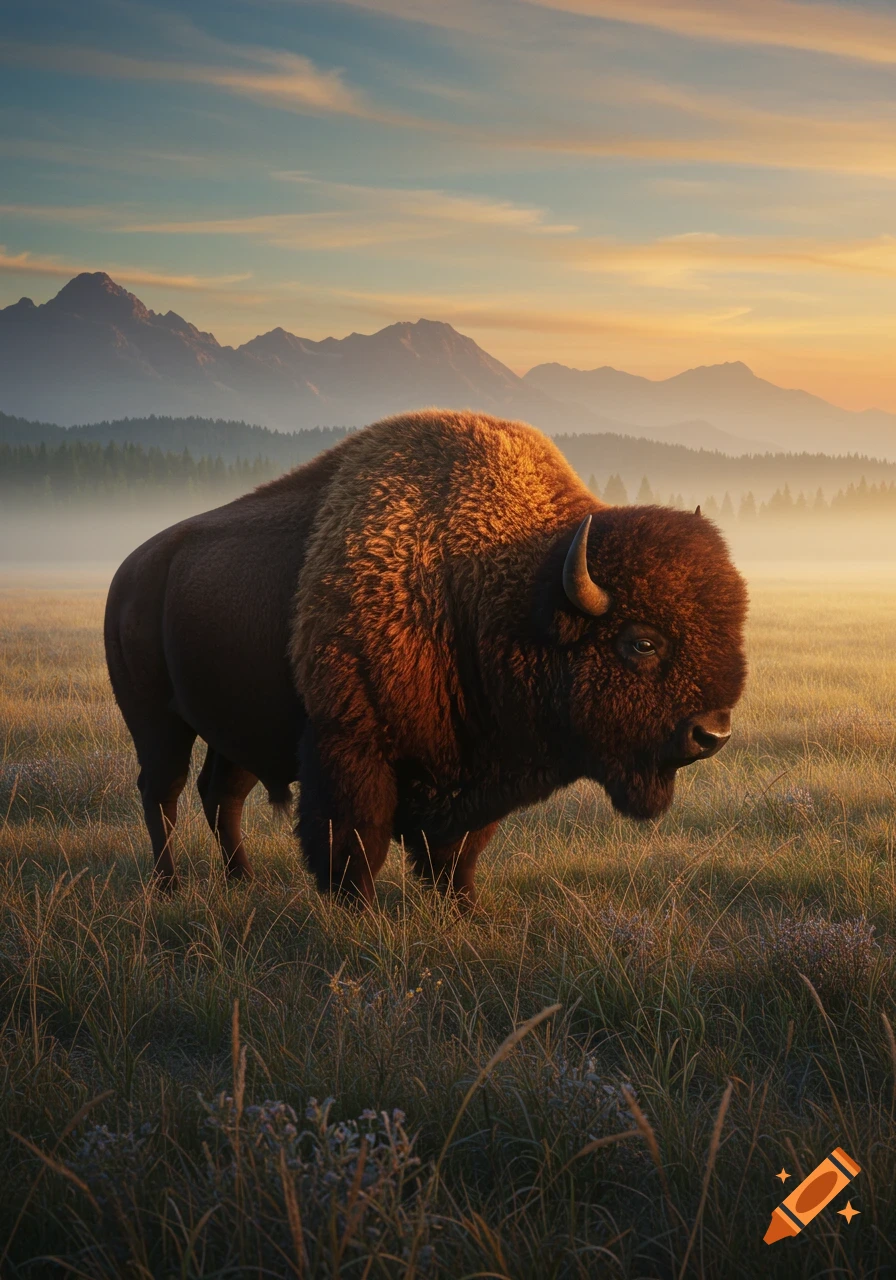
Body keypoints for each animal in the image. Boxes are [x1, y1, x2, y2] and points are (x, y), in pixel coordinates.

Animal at [105, 410, 748, 904]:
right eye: (641, 642)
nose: (711, 734)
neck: (502, 591)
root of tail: (129, 571)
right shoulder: (352, 747)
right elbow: (356, 844)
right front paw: (358, 914)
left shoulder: (473, 765)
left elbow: (456, 853)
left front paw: (463, 909)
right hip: (157, 721)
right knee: (163, 794)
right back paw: (170, 888)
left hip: (235, 727)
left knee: (222, 795)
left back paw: (242, 882)